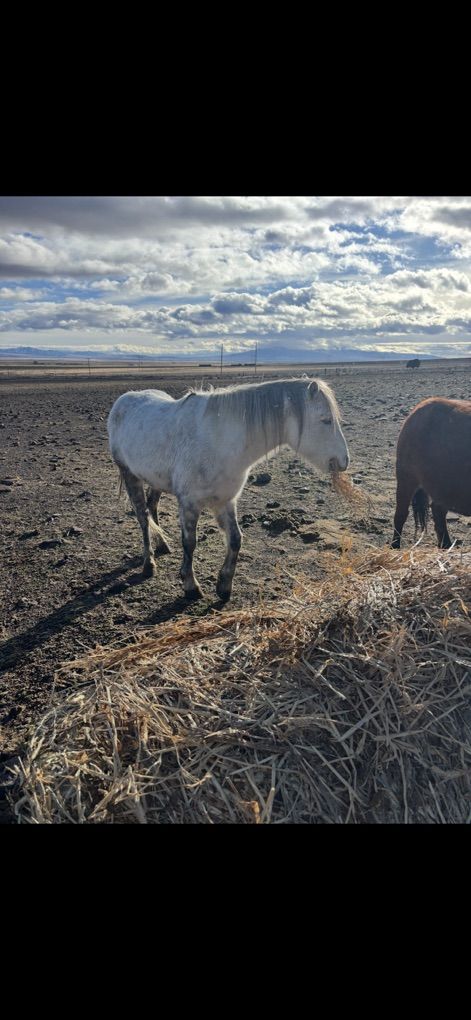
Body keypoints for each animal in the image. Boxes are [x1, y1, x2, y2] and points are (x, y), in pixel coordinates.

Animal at [107, 377, 350, 601]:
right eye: (325, 420)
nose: (344, 461)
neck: (219, 441)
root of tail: (123, 400)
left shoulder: (226, 500)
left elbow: (235, 539)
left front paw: (224, 586)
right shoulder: (189, 503)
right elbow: (190, 543)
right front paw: (191, 586)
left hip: (154, 479)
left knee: (152, 507)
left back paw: (163, 545)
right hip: (130, 475)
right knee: (143, 516)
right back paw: (148, 563)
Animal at [391, 397, 471, 549]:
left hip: (441, 486)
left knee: (438, 511)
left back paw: (445, 544)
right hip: (406, 478)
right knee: (400, 514)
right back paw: (395, 546)